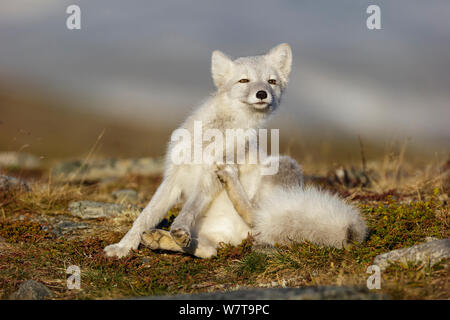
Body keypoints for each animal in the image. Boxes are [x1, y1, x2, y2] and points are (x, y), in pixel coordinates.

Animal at [103, 42, 368, 258]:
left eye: (271, 81)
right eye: (244, 81)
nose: (262, 94)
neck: (212, 138)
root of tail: (236, 236)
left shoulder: (208, 180)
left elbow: (188, 209)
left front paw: (178, 227)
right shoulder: (174, 177)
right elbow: (145, 217)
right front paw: (123, 247)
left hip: (283, 164)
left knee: (256, 218)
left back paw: (228, 183)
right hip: (216, 233)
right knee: (209, 251)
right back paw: (162, 239)